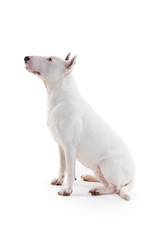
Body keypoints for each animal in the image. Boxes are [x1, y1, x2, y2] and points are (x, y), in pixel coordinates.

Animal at [24, 53, 136, 200]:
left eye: (50, 59)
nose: (25, 57)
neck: (58, 96)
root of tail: (133, 176)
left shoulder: (70, 146)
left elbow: (70, 170)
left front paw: (67, 190)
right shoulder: (61, 146)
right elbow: (62, 165)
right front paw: (59, 180)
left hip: (107, 163)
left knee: (116, 187)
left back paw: (97, 190)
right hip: (98, 168)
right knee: (105, 181)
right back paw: (89, 177)